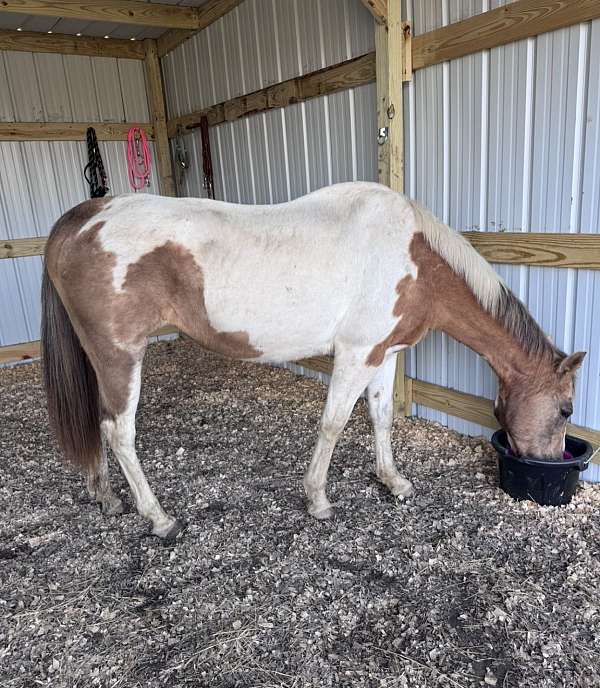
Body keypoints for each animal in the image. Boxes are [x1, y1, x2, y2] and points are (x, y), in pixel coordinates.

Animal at [41, 182, 585, 539]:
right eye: (566, 410)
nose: (549, 462)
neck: (416, 259)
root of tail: (86, 216)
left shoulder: (384, 354)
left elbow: (381, 417)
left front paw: (393, 481)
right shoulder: (356, 354)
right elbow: (334, 422)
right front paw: (318, 500)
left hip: (98, 358)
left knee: (95, 422)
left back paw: (106, 497)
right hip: (121, 356)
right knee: (119, 431)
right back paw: (158, 518)